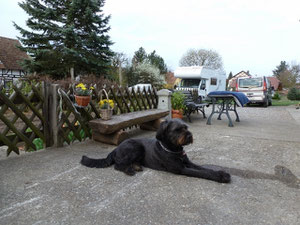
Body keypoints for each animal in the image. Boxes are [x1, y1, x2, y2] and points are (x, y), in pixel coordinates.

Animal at [81, 118, 231, 184]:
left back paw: (136, 166)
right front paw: (220, 177)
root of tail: (116, 148)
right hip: (135, 146)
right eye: (177, 130)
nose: (189, 136)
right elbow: (201, 173)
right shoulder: (180, 168)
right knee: (118, 165)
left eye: (186, 127)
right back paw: (129, 169)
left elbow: (204, 168)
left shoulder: (188, 163)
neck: (173, 150)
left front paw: (220, 173)